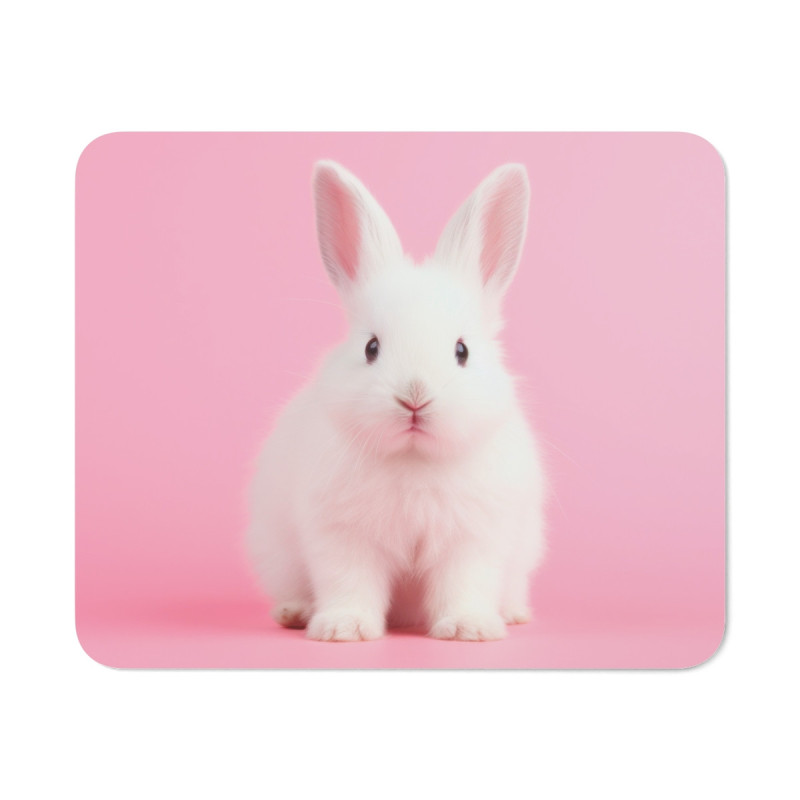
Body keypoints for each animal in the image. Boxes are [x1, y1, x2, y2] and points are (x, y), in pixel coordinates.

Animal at [246, 160, 546, 642]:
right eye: (371, 347)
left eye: (462, 350)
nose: (414, 398)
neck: (413, 458)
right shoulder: (342, 536)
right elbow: (349, 582)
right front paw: (343, 628)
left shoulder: (473, 539)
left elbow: (464, 583)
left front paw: (468, 628)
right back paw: (295, 612)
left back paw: (513, 613)